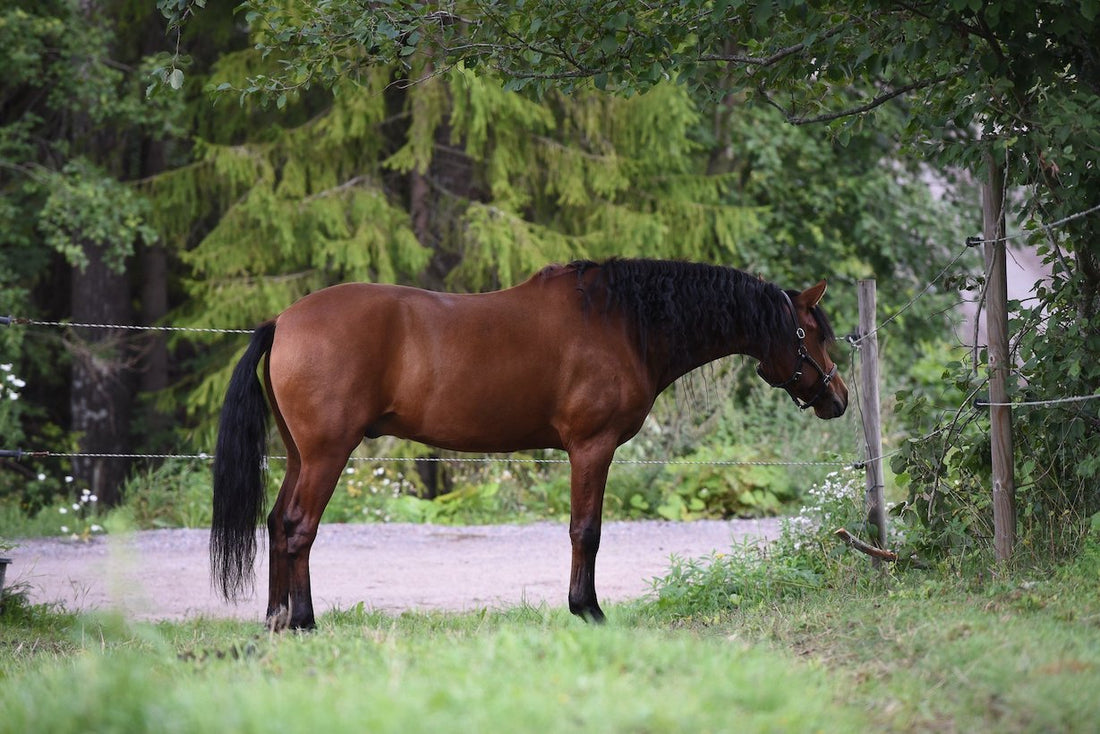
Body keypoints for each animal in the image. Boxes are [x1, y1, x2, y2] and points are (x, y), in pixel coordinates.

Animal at [214, 258, 849, 633]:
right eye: (811, 333)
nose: (839, 398)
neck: (624, 322)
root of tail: (283, 319)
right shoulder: (592, 447)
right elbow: (586, 531)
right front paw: (587, 609)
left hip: (300, 455)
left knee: (276, 523)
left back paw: (275, 619)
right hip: (327, 453)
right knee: (299, 527)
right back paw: (302, 621)